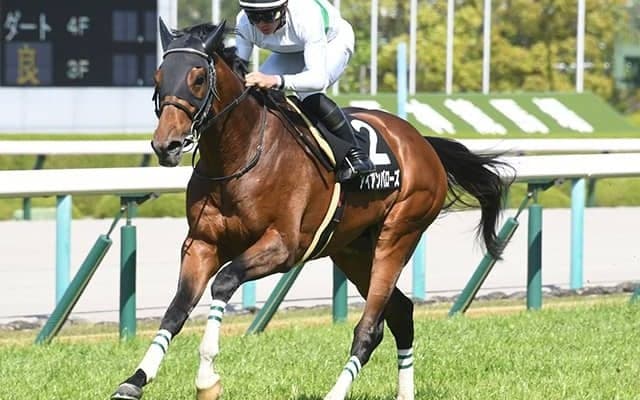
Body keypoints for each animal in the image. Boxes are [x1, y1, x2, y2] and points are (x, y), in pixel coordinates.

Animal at [112, 20, 510, 400]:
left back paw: (336, 392)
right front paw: (135, 379)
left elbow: (224, 282)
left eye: (197, 78)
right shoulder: (201, 243)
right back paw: (403, 393)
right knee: (400, 313)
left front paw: (207, 378)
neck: (239, 157)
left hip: (398, 235)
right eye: (158, 78)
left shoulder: (283, 246)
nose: (166, 145)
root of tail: (421, 142)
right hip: (352, 250)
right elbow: (176, 309)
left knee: (370, 327)